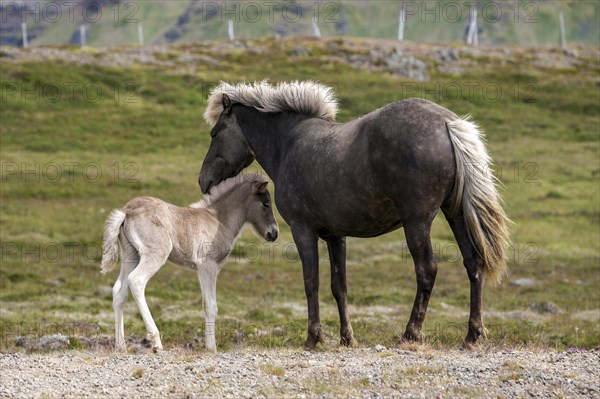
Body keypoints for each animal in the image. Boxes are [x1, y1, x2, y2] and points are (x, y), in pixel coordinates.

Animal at [199, 80, 508, 350]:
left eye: (214, 133)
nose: (203, 180)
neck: (289, 144)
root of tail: (446, 123)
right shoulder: (336, 236)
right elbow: (340, 287)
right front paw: (347, 338)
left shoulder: (303, 230)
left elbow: (311, 282)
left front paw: (313, 338)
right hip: (455, 214)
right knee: (473, 263)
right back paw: (472, 335)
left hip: (417, 222)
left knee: (427, 270)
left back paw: (411, 333)